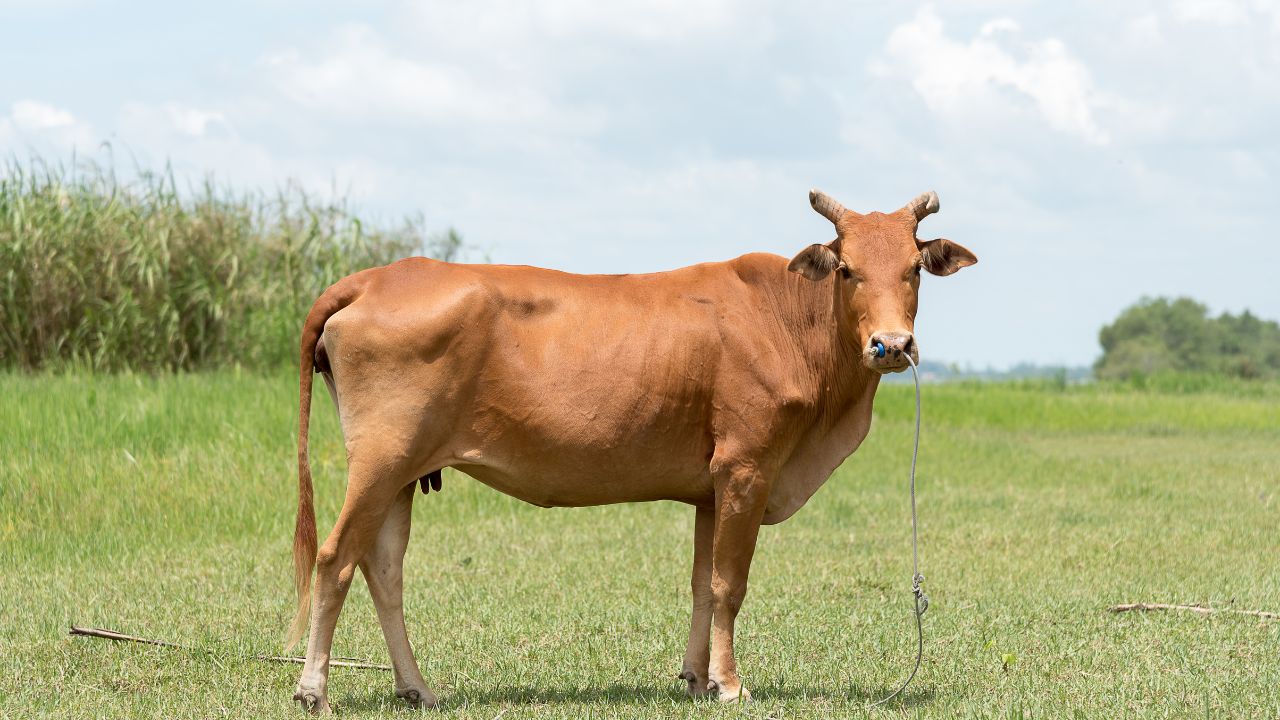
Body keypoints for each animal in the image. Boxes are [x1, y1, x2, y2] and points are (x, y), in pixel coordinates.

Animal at [285, 190, 976, 712]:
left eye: (913, 269)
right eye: (847, 268)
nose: (892, 345)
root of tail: (377, 277)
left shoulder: (711, 488)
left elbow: (702, 582)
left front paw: (697, 678)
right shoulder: (747, 468)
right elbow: (729, 583)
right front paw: (730, 684)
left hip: (404, 472)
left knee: (383, 569)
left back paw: (417, 688)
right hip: (380, 460)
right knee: (335, 557)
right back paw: (313, 689)